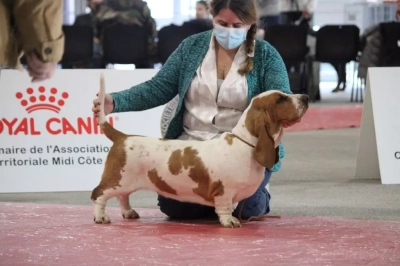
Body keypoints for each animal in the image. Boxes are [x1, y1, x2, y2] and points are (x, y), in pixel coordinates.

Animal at [90, 74, 310, 228]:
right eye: (280, 99)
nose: (306, 97)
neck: (246, 144)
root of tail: (123, 137)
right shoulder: (224, 192)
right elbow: (225, 208)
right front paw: (230, 221)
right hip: (116, 179)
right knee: (99, 194)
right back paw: (101, 217)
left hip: (125, 181)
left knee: (122, 197)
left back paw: (128, 213)